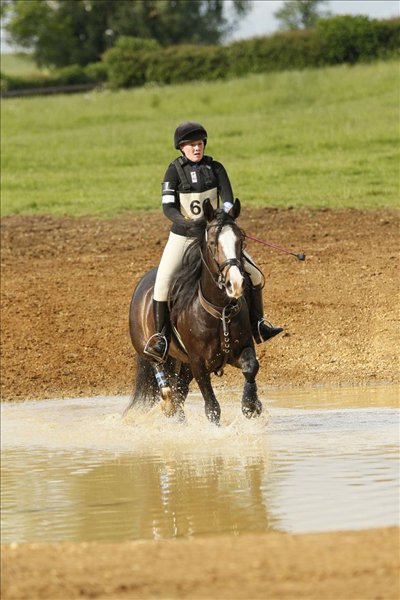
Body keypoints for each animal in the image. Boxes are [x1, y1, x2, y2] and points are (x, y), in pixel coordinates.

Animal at [126, 199, 260, 424]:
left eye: (241, 240)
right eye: (213, 243)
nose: (235, 284)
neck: (219, 311)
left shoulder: (242, 348)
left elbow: (251, 367)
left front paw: (251, 405)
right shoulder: (199, 364)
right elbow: (212, 407)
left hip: (184, 363)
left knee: (179, 392)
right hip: (151, 350)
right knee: (165, 382)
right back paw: (170, 406)